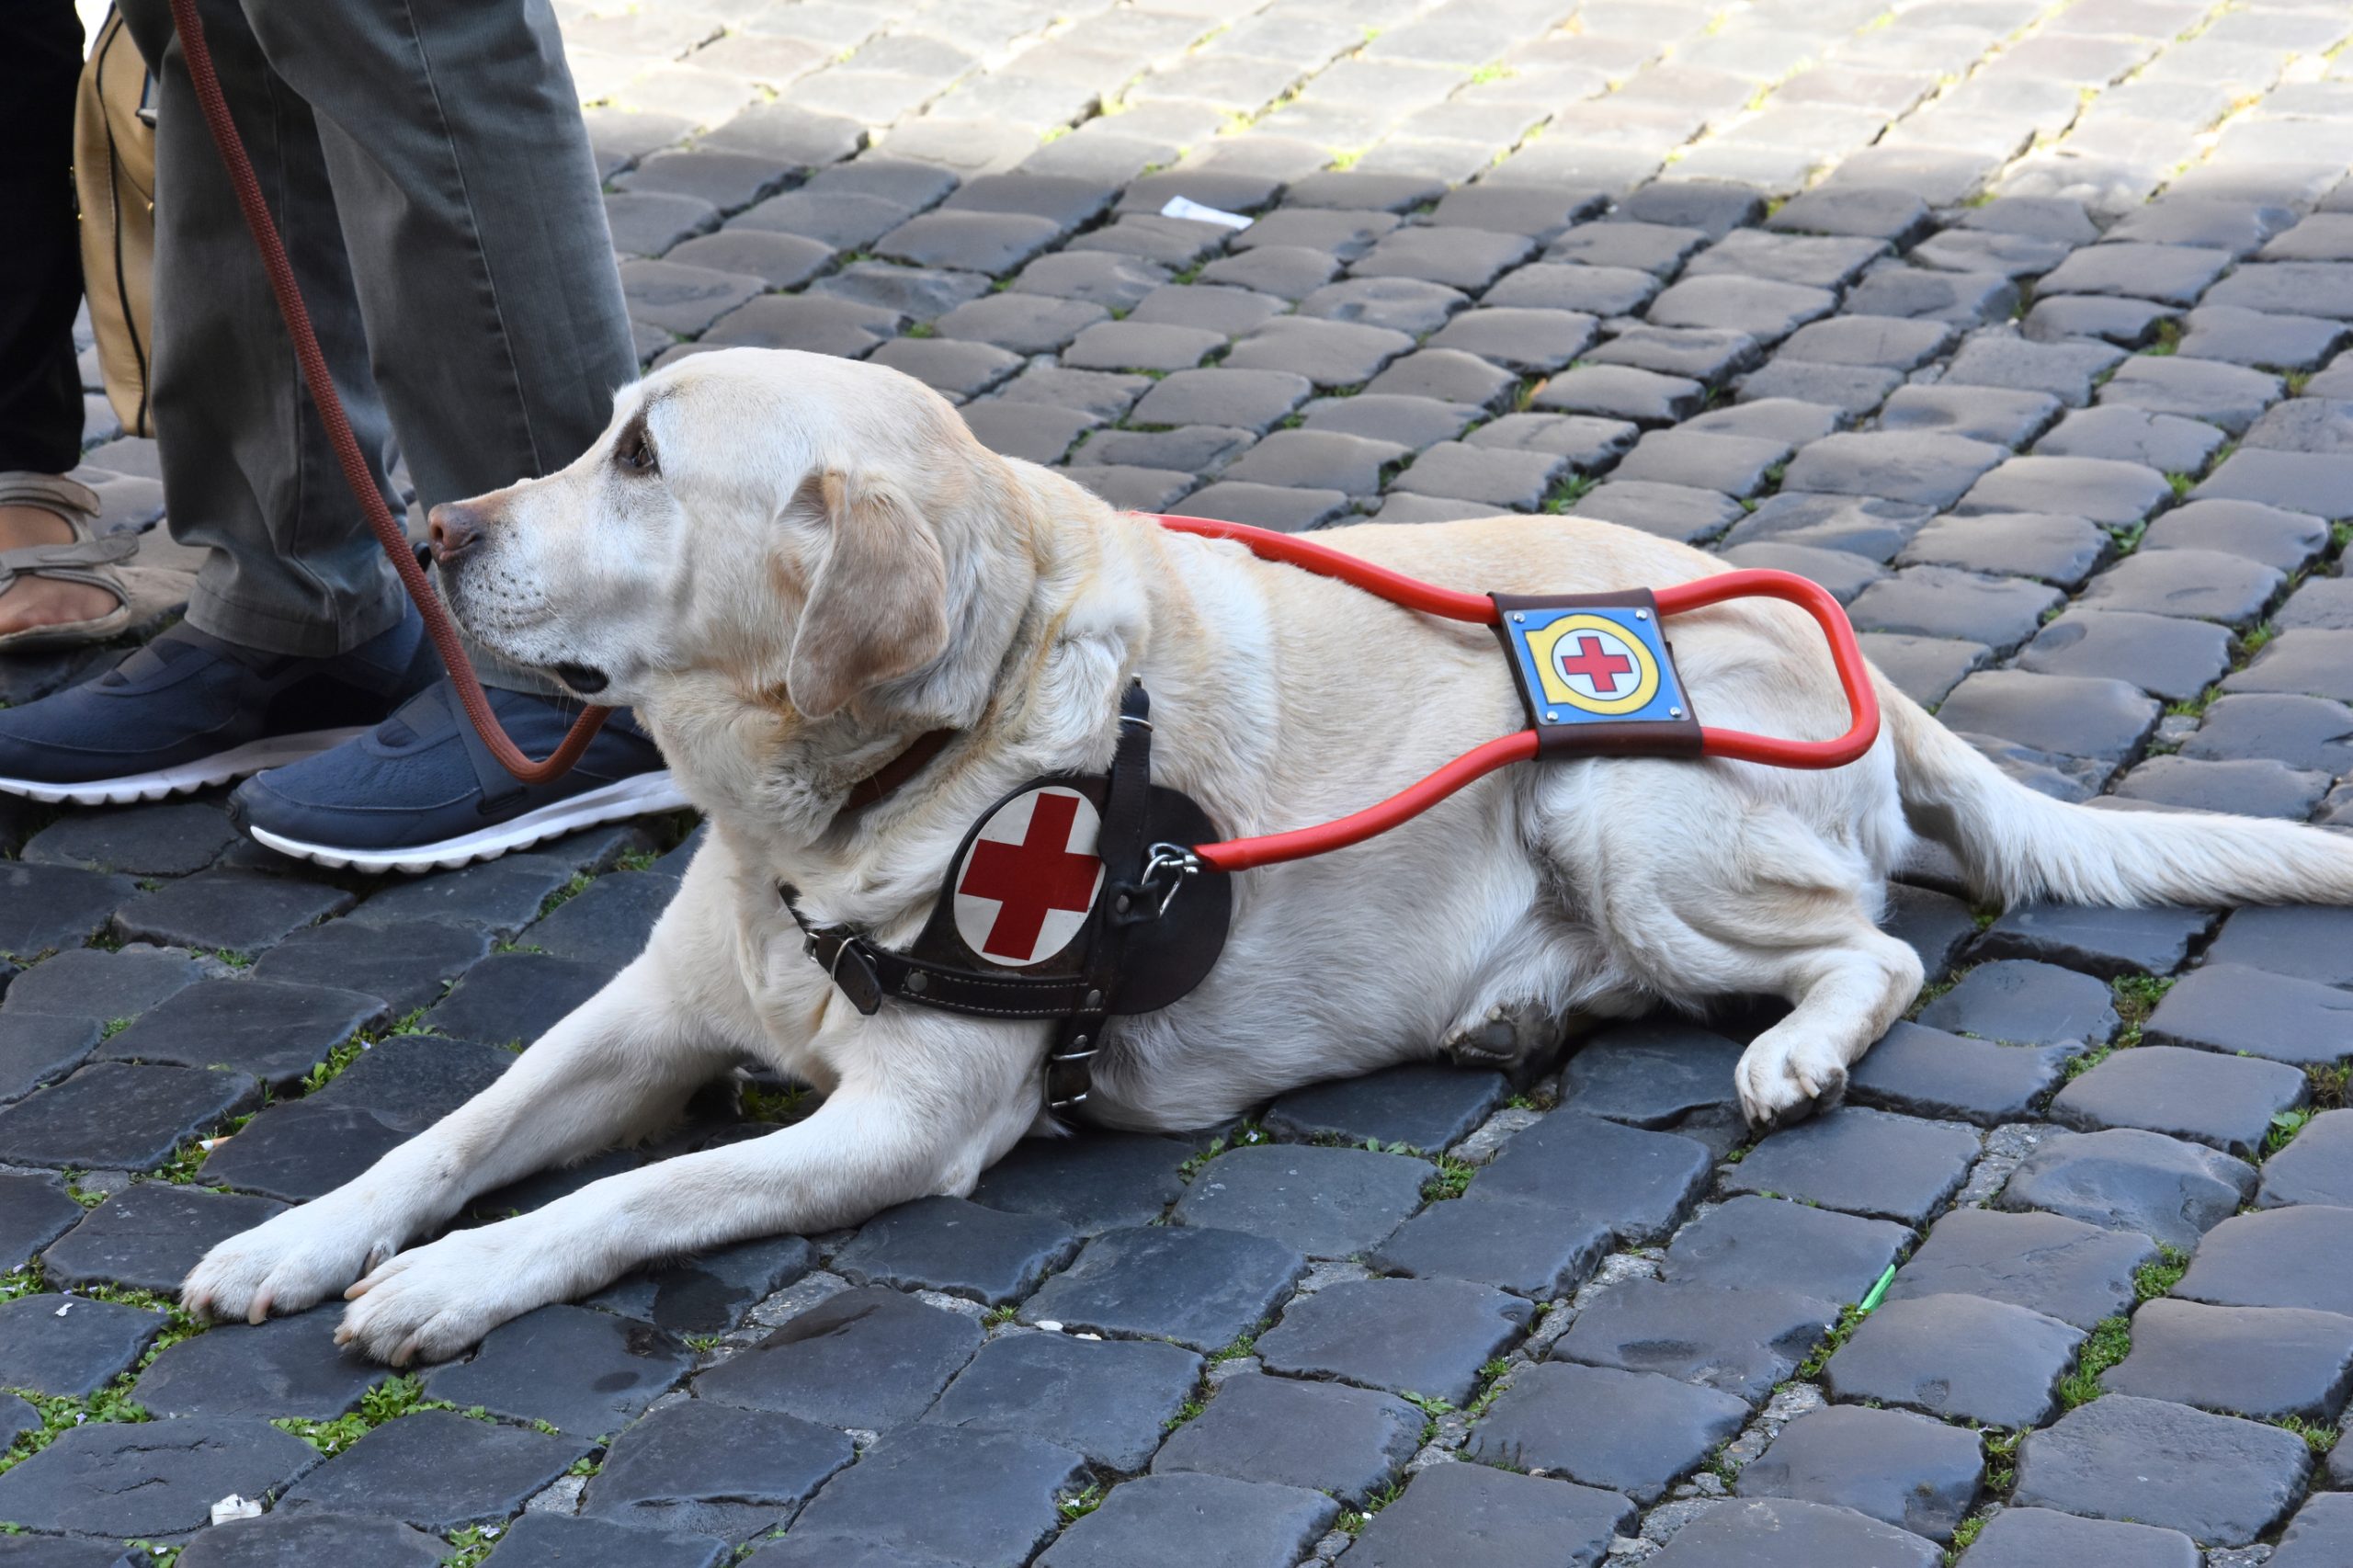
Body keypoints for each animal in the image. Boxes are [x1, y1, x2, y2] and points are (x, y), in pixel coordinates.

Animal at [183, 348, 2353, 1365]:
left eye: (639, 459)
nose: (436, 529)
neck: (887, 785)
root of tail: (1868, 659)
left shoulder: (899, 1126)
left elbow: (619, 1206)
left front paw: (454, 1286)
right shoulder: (646, 1016)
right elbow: (452, 1133)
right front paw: (304, 1238)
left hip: (1614, 795)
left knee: (1875, 949)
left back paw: (1791, 1054)